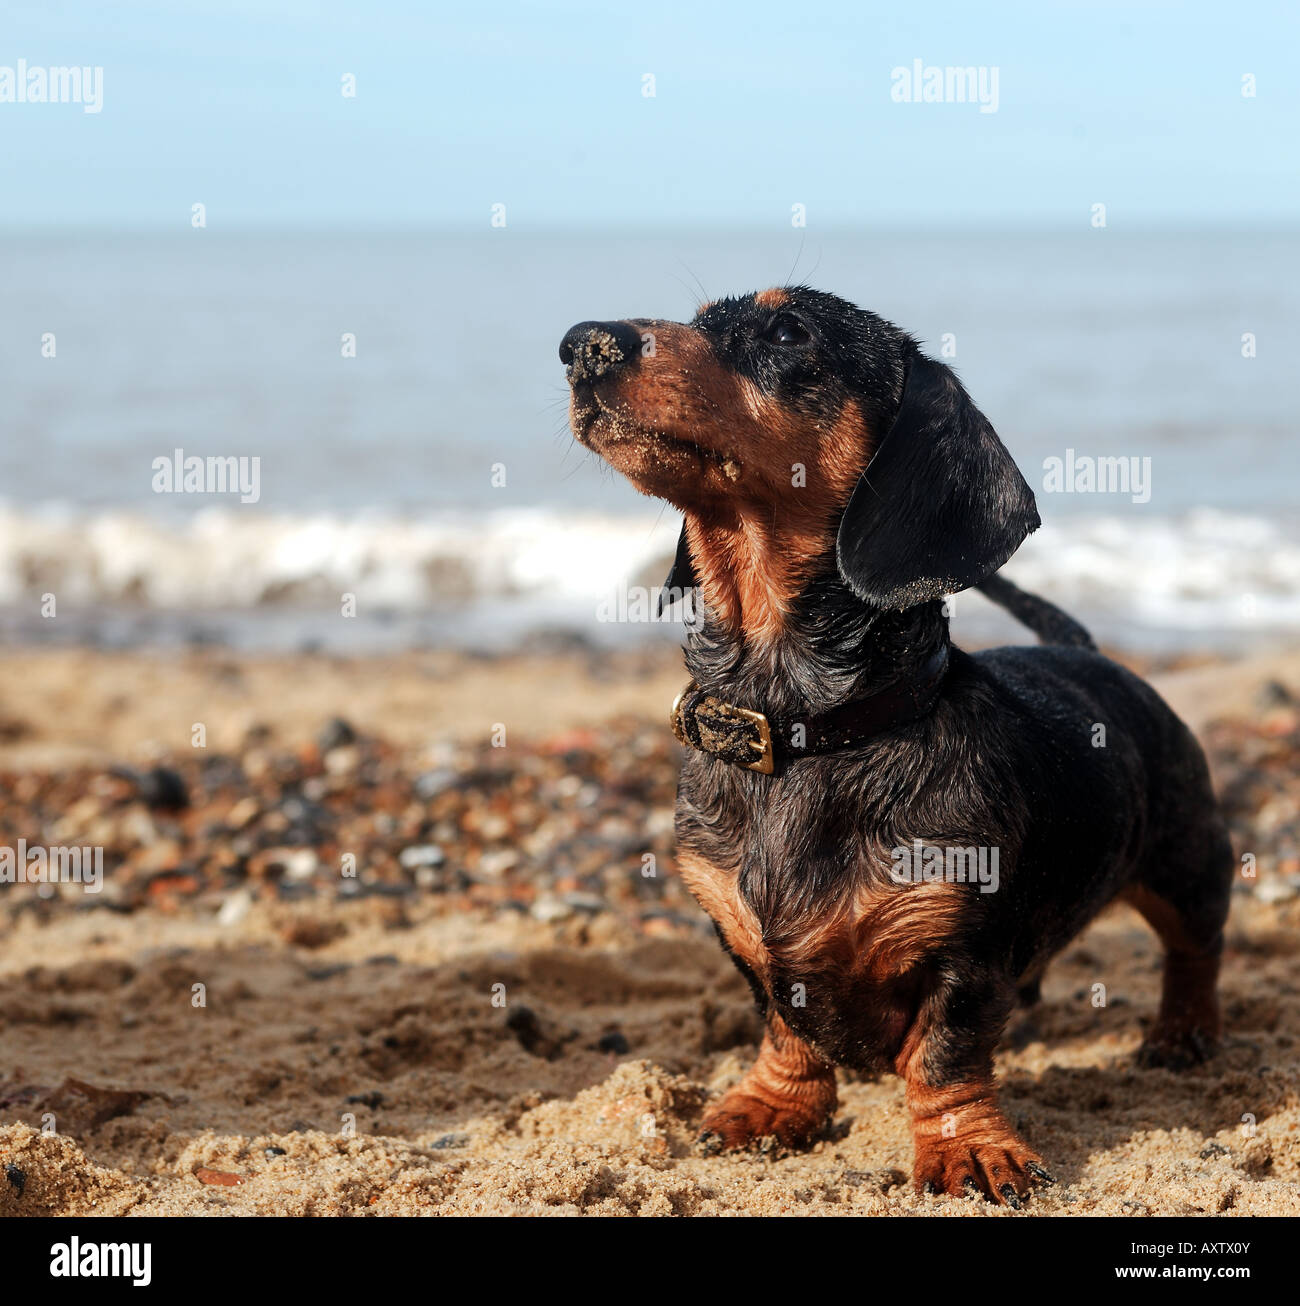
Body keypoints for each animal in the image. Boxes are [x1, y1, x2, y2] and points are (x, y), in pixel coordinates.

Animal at [556, 286, 1228, 1201]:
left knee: (1196, 948)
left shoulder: (962, 948)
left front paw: (965, 1147)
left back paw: (1183, 1034)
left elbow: (947, 1054)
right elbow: (784, 1025)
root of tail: (1091, 654)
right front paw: (774, 1106)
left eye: (787, 330)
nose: (581, 344)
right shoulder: (736, 932)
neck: (809, 734)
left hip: (1187, 861)